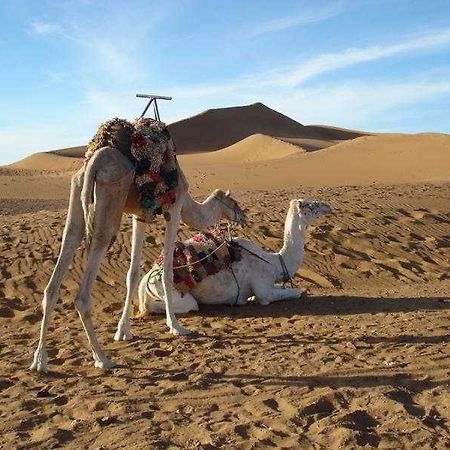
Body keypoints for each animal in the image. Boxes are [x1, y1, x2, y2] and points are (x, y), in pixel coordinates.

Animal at [29, 139, 244, 370]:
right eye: (234, 203)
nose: (243, 217)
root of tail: (93, 162)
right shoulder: (174, 210)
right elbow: (167, 273)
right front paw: (176, 326)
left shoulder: (139, 215)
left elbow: (132, 275)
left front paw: (123, 330)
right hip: (108, 199)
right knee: (83, 293)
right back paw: (102, 359)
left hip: (78, 198)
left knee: (59, 266)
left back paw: (40, 360)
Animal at [138, 199, 330, 314]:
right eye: (311, 205)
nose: (328, 206)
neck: (274, 262)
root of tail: (145, 281)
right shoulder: (263, 288)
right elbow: (295, 292)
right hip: (170, 291)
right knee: (185, 305)